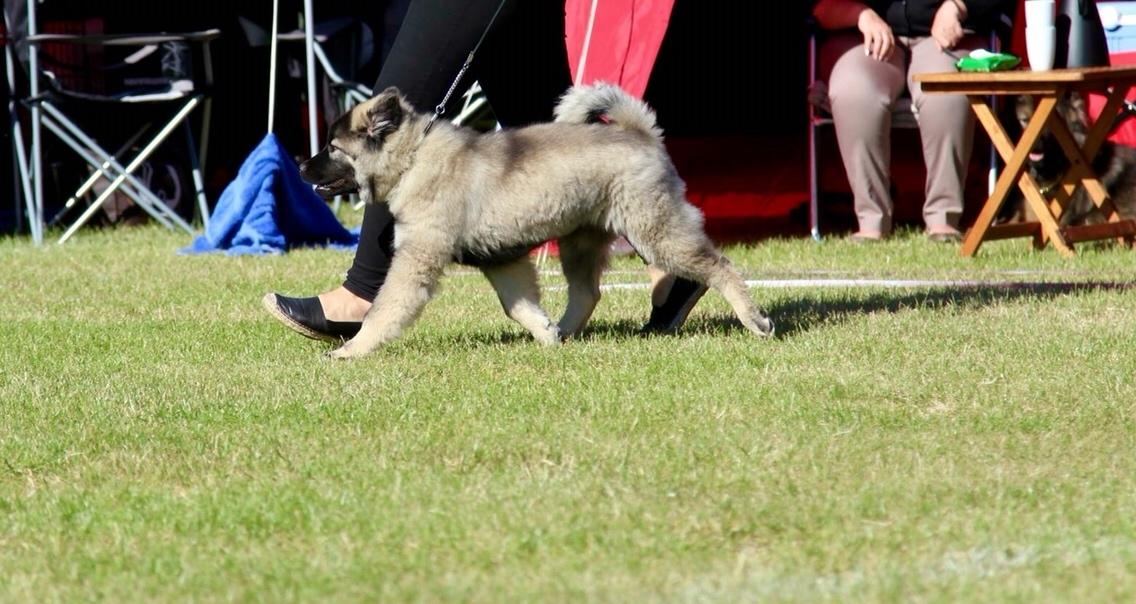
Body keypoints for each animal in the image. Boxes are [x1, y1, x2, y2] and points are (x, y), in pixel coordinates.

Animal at [297, 85, 777, 358]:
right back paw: (566, 331)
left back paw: (754, 320)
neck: (414, 158)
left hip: (653, 227)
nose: (301, 165)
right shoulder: (501, 260)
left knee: (719, 265)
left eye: (332, 147)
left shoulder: (418, 259)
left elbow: (384, 309)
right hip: (581, 240)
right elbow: (519, 305)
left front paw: (352, 350)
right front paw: (546, 336)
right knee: (587, 291)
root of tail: (638, 133)